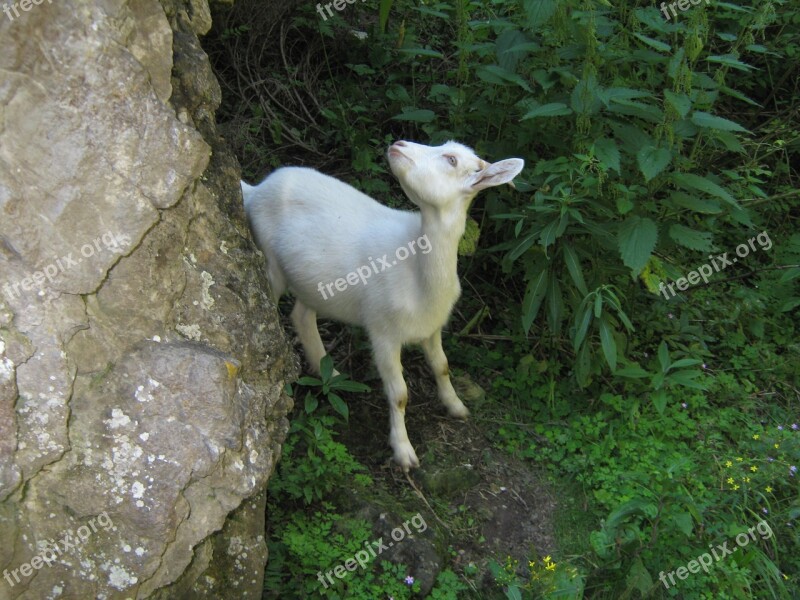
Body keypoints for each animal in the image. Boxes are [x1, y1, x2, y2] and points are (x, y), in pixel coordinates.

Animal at [244, 141, 524, 468]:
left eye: (451, 159)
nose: (399, 144)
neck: (418, 271)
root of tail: (256, 189)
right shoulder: (383, 333)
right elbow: (399, 394)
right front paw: (403, 451)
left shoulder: (432, 328)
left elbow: (442, 366)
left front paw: (456, 405)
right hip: (270, 263)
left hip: (311, 282)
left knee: (301, 315)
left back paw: (331, 375)